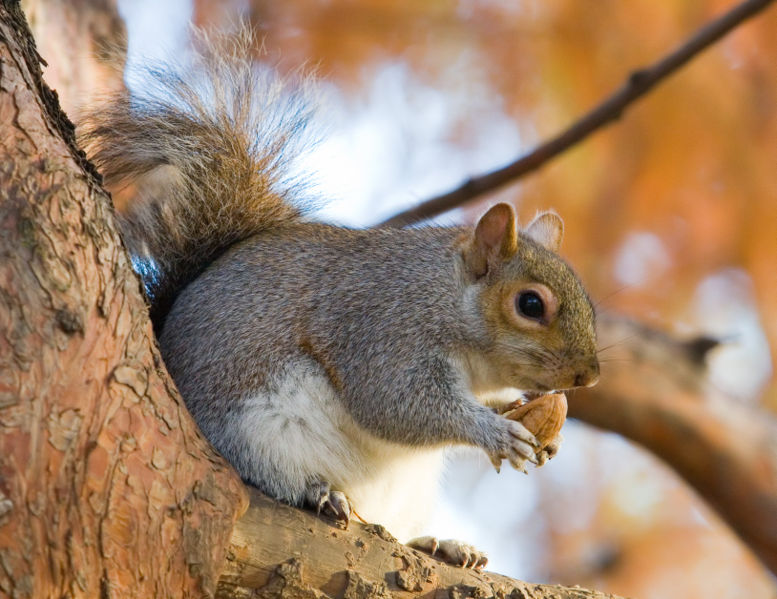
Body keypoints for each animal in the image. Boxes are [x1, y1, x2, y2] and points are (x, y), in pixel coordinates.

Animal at [80, 29, 600, 572]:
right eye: (531, 305)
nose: (588, 376)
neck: (444, 299)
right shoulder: (382, 329)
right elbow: (395, 403)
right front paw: (495, 432)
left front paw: (529, 418)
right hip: (255, 432)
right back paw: (318, 492)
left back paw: (439, 544)